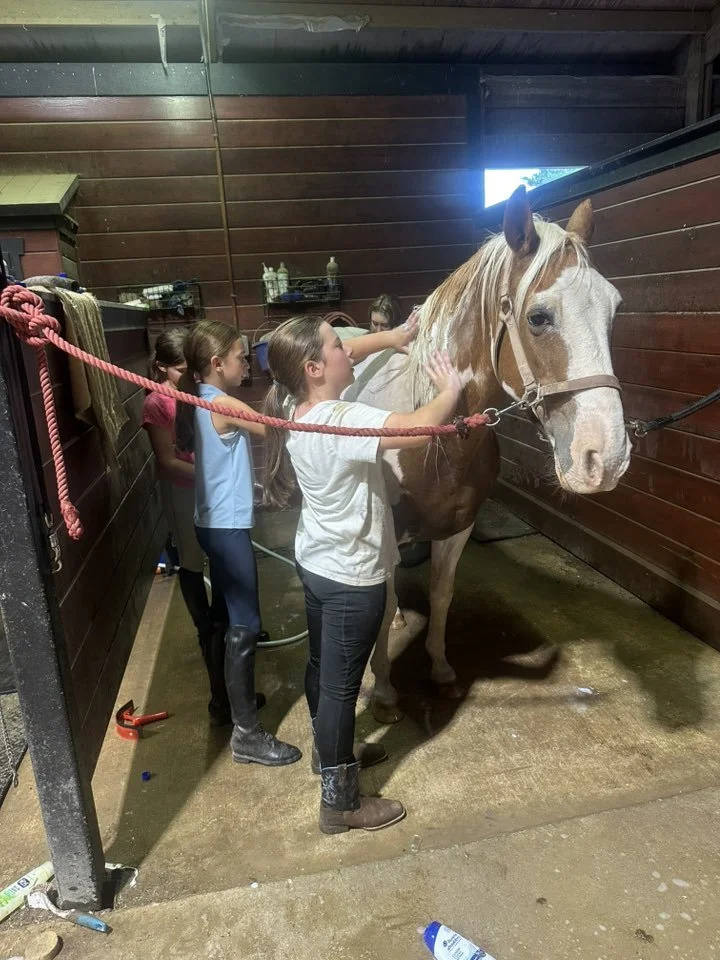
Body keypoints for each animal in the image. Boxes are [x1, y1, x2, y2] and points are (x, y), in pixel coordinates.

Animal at [351, 185, 631, 723]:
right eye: (538, 317)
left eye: (613, 310)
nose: (604, 458)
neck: (434, 429)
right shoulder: (386, 527)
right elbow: (386, 596)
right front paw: (383, 691)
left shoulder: (458, 526)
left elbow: (440, 595)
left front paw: (441, 672)